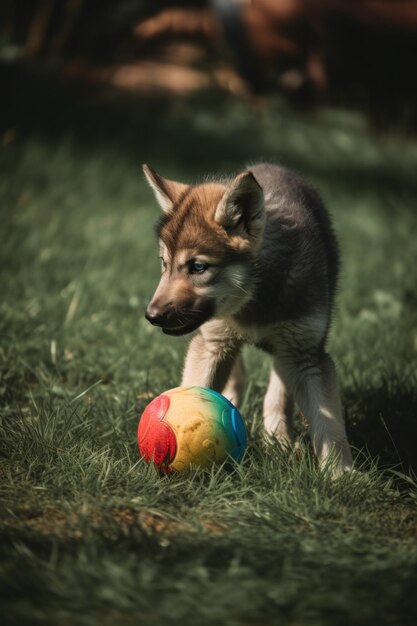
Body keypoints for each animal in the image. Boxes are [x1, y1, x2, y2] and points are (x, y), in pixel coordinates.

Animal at [142, 163, 352, 470]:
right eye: (164, 264)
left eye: (198, 266)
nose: (151, 316)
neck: (255, 301)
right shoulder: (212, 343)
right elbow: (197, 388)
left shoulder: (308, 355)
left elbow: (329, 425)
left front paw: (340, 474)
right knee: (238, 377)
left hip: (288, 353)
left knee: (277, 394)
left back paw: (279, 442)